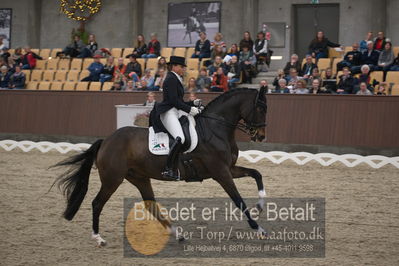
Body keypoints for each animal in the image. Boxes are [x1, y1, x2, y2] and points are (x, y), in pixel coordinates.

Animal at [55, 88, 268, 246]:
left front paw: (260, 205)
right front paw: (259, 229)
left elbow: (257, 174)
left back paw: (177, 233)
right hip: (112, 179)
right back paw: (98, 238)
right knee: (97, 203)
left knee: (150, 205)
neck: (215, 128)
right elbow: (239, 200)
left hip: (139, 177)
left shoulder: (229, 169)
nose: (261, 136)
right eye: (260, 108)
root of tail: (106, 141)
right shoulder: (221, 173)